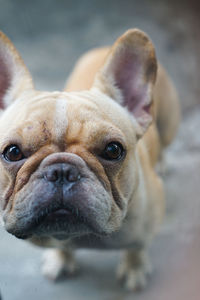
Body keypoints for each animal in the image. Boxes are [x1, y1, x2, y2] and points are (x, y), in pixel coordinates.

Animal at [0, 29, 180, 290]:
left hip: (169, 123)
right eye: (13, 152)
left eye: (113, 150)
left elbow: (136, 248)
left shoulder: (145, 229)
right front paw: (60, 259)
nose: (61, 171)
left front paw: (134, 269)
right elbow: (62, 246)